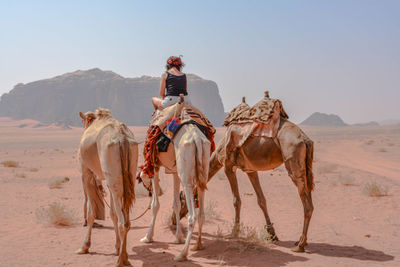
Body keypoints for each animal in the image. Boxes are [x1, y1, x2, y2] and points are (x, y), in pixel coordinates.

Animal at [77, 109, 139, 267]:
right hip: (123, 177)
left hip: (111, 174)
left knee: (123, 222)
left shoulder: (86, 173)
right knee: (126, 220)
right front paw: (117, 247)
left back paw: (121, 261)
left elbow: (91, 212)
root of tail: (122, 137)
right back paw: (124, 256)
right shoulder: (109, 182)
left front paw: (85, 246)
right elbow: (112, 214)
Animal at [139, 105, 211, 262]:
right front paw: (178, 237)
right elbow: (176, 204)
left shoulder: (155, 166)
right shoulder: (174, 171)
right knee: (201, 212)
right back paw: (198, 245)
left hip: (187, 176)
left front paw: (148, 237)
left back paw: (182, 254)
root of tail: (197, 140)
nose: (148, 189)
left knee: (192, 215)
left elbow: (155, 205)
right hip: (202, 169)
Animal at [208, 116, 314, 253]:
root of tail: (305, 139)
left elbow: (236, 200)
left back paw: (300, 245)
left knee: (307, 206)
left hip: (294, 166)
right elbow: (261, 200)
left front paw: (233, 233)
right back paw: (301, 241)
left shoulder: (228, 166)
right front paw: (272, 234)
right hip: (305, 168)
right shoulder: (251, 170)